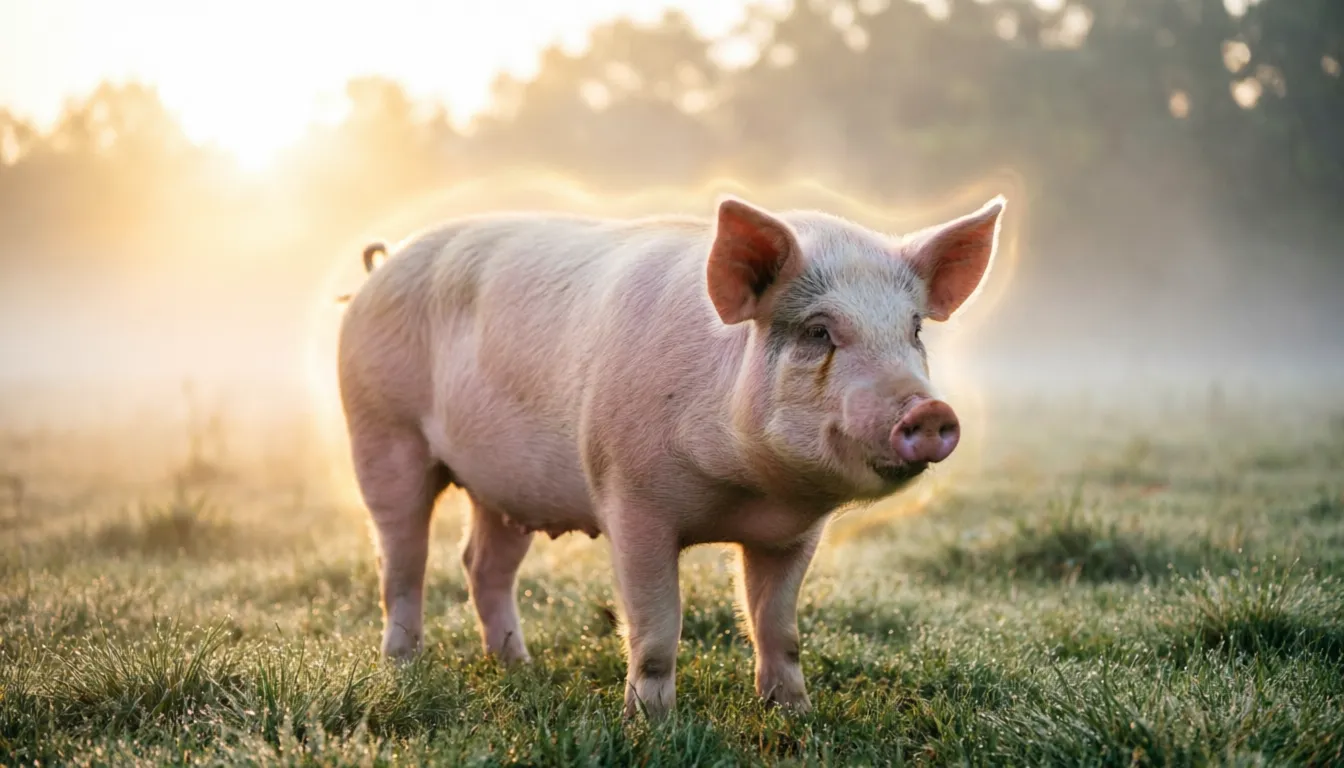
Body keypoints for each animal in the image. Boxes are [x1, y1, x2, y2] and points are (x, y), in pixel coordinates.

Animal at [336, 193, 1006, 719]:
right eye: (819, 331)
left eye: (914, 329)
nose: (929, 411)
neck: (749, 491)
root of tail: (378, 270)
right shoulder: (630, 499)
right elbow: (657, 630)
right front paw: (652, 726)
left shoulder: (795, 533)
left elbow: (780, 628)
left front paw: (795, 714)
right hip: (380, 429)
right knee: (402, 560)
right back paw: (403, 667)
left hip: (503, 486)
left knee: (482, 563)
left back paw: (517, 667)